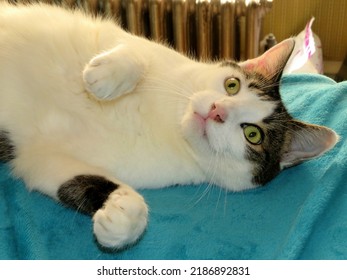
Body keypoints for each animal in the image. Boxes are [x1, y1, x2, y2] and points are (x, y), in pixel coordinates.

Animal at [0, 2, 338, 249]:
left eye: (253, 134)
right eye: (232, 85)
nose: (217, 111)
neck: (168, 122)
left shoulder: (41, 157)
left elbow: (59, 173)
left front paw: (123, 214)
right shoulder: (137, 45)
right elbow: (135, 49)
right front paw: (104, 77)